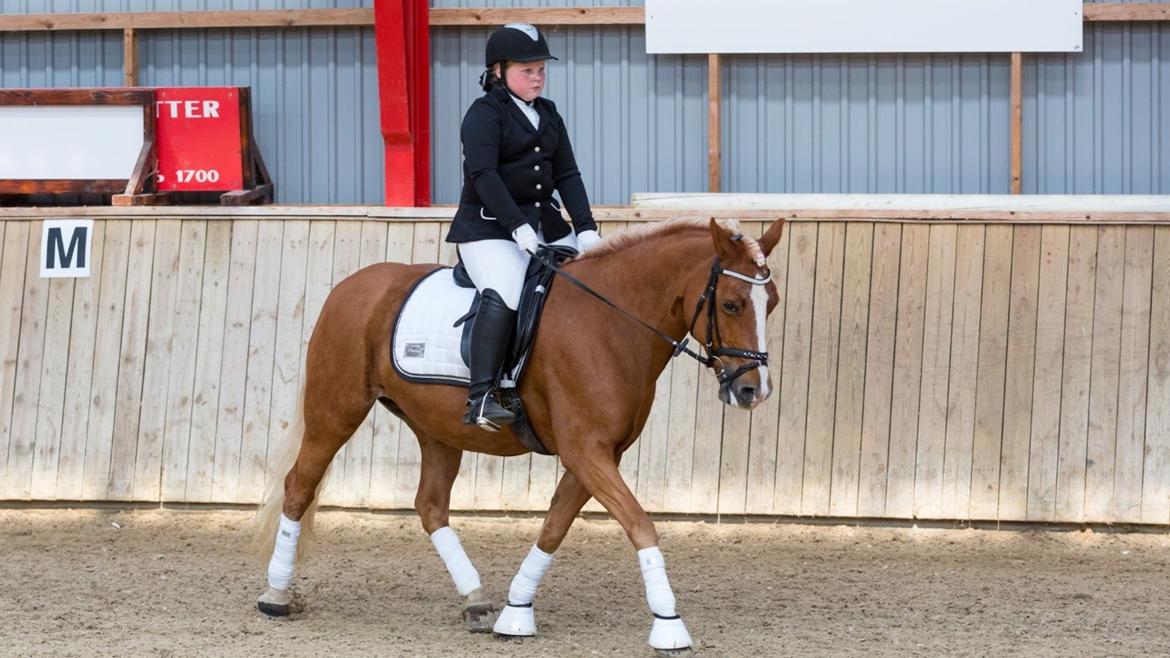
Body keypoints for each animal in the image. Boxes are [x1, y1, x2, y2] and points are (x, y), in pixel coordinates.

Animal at [256, 215, 786, 650]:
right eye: (732, 304)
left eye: (772, 304)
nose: (753, 391)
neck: (612, 322)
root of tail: (351, 285)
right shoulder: (586, 451)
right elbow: (640, 524)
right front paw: (668, 623)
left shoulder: (597, 454)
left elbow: (554, 527)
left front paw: (516, 612)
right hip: (336, 410)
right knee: (299, 485)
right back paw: (276, 594)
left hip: (437, 429)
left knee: (430, 506)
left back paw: (474, 598)